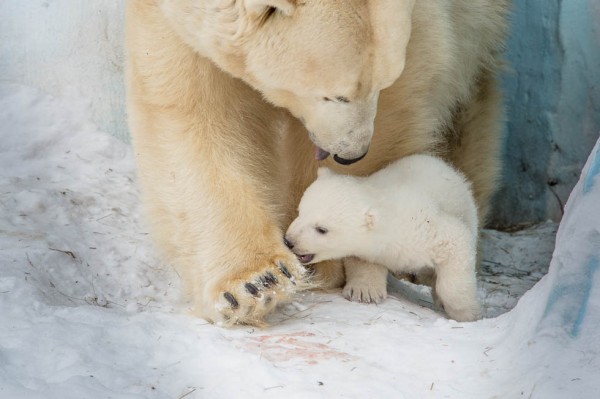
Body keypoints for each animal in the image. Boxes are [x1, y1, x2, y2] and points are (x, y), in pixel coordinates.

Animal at [124, 0, 508, 326]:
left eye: (379, 83)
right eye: (336, 95)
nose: (352, 153)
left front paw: (331, 260)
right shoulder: (171, 17)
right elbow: (191, 107)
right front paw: (255, 284)